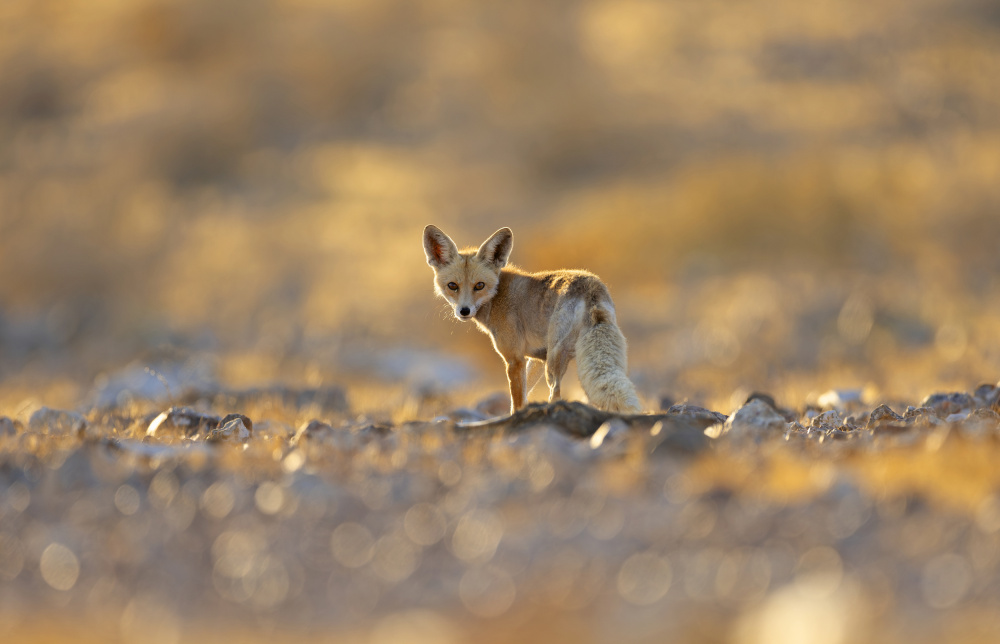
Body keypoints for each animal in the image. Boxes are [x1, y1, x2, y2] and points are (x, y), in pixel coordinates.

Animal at [422, 224, 642, 415]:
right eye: (452, 286)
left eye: (479, 286)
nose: (464, 311)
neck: (497, 297)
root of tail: (592, 288)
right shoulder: (535, 358)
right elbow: (525, 395)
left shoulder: (514, 359)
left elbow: (517, 402)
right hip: (599, 359)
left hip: (554, 363)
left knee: (556, 394)